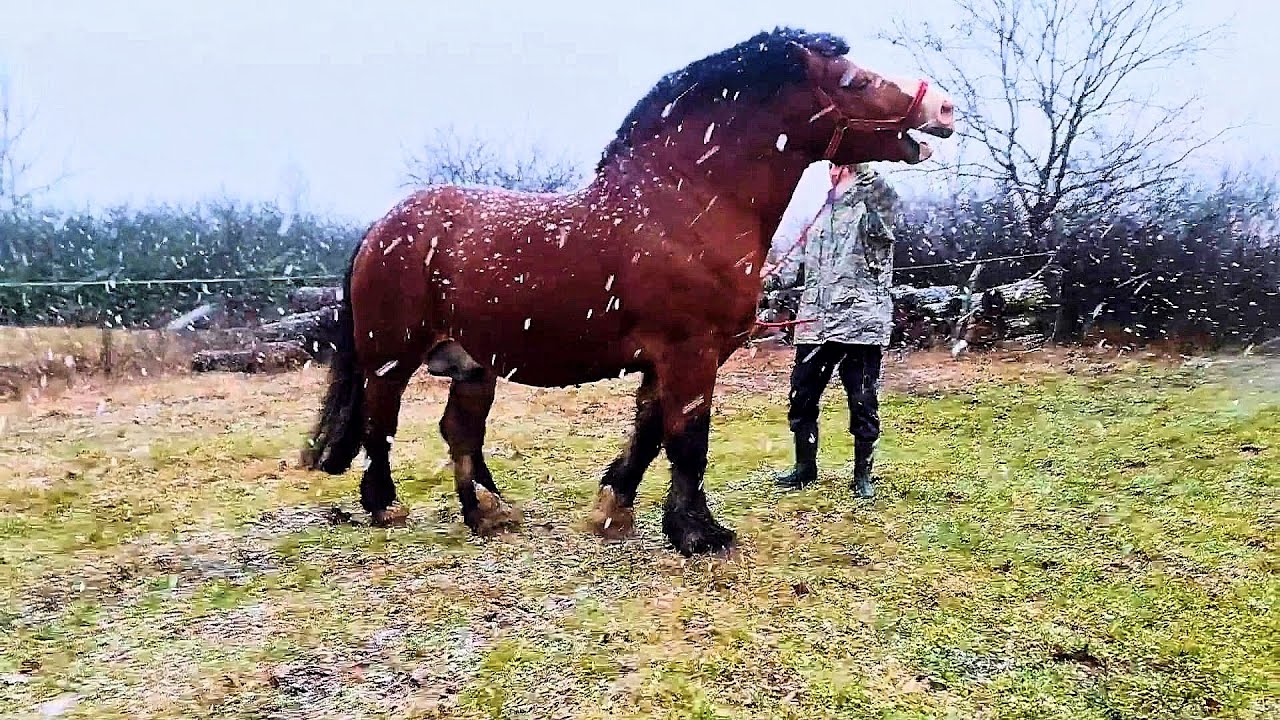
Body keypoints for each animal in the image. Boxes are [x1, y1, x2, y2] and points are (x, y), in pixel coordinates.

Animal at [302, 27, 955, 556]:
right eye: (856, 80)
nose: (944, 107)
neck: (687, 203)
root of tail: (382, 227)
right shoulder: (692, 354)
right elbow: (688, 439)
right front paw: (698, 534)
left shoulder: (665, 361)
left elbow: (648, 433)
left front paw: (613, 510)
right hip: (391, 358)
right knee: (380, 424)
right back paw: (386, 505)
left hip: (472, 366)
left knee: (459, 431)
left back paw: (490, 512)